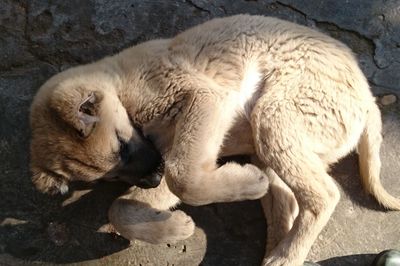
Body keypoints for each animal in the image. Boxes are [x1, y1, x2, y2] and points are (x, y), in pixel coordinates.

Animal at [29, 15, 398, 266]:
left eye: (122, 146)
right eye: (109, 176)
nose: (151, 179)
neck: (119, 82)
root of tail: (367, 98)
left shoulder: (202, 99)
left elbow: (182, 178)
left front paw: (243, 185)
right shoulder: (171, 154)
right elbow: (122, 206)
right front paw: (174, 227)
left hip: (275, 113)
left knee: (324, 195)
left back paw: (286, 253)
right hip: (277, 147)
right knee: (289, 205)